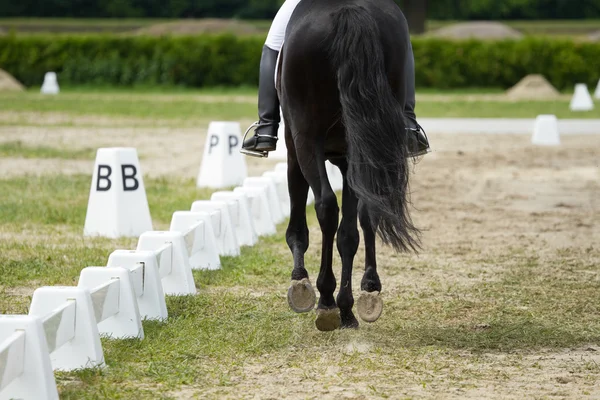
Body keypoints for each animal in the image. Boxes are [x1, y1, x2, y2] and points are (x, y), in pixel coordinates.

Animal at [278, 0, 422, 332]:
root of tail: (347, 9)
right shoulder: (348, 160)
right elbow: (353, 228)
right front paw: (351, 304)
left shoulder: (295, 149)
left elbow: (299, 222)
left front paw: (301, 284)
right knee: (361, 217)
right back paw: (358, 298)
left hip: (305, 140)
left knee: (326, 207)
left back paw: (326, 301)